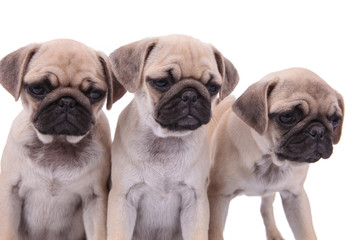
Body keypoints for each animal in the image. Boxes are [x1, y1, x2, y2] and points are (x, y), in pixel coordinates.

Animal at [0, 39, 125, 240]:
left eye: (95, 94)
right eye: (38, 89)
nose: (67, 101)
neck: (59, 142)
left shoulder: (95, 199)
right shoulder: (10, 192)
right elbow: (7, 232)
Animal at [107, 34, 239, 240]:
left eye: (212, 87)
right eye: (162, 82)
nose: (191, 95)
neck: (166, 140)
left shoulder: (195, 201)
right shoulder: (123, 199)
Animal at [207, 68, 344, 240]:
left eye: (335, 121)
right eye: (287, 116)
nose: (318, 131)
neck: (270, 161)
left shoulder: (295, 196)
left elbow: (306, 232)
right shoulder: (218, 198)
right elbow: (215, 232)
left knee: (266, 209)